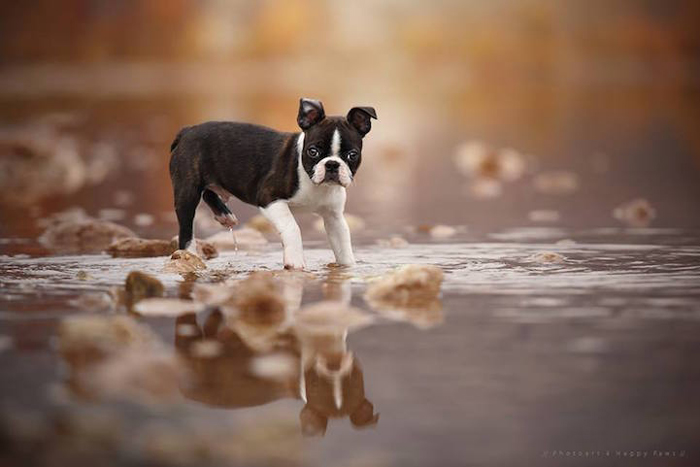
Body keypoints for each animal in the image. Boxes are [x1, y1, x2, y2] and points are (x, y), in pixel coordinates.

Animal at [170, 98, 378, 270]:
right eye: (313, 151)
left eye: (352, 155)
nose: (332, 164)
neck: (314, 183)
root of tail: (187, 130)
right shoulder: (269, 198)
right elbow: (292, 227)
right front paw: (295, 261)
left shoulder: (333, 217)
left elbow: (343, 242)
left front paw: (348, 267)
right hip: (187, 191)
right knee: (187, 229)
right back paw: (190, 255)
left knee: (209, 192)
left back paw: (225, 216)